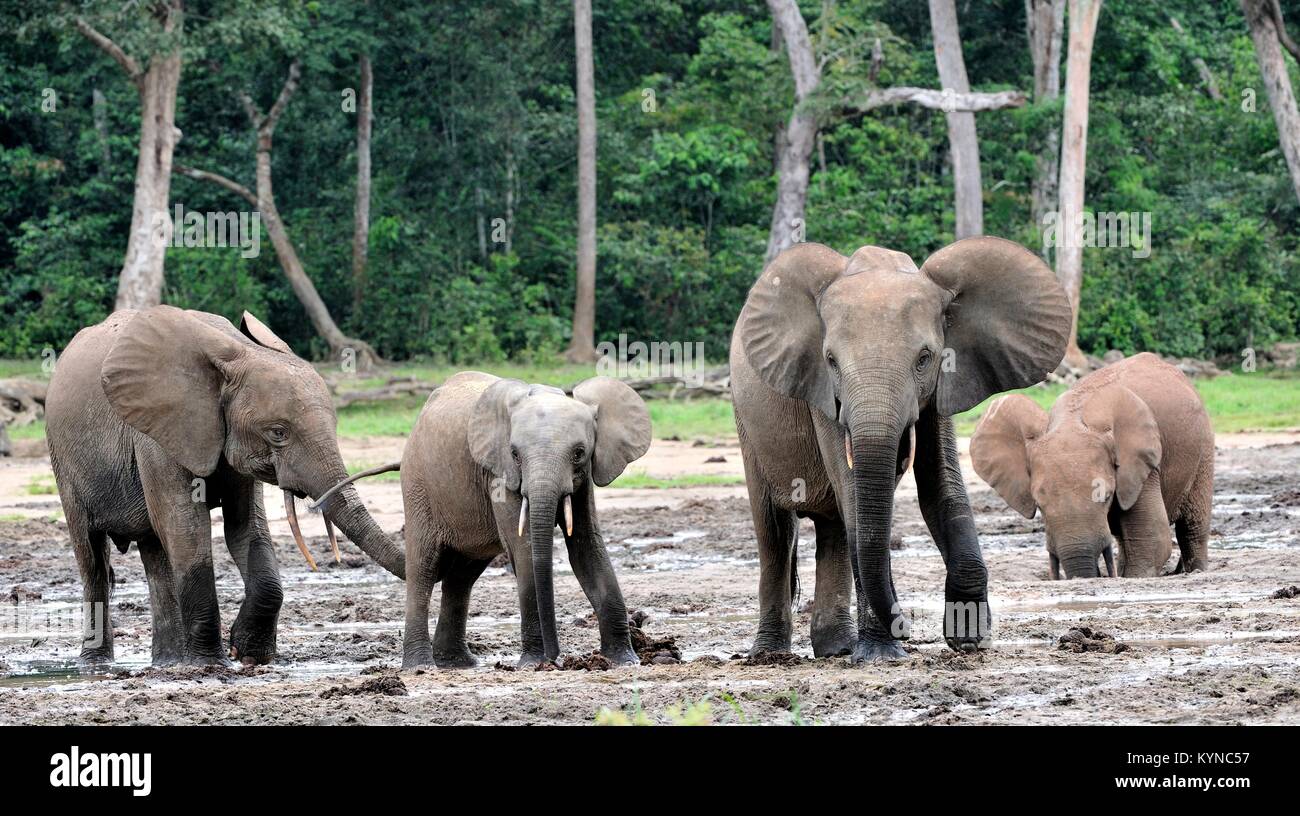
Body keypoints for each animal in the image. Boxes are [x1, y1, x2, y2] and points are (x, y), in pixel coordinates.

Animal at [44, 306, 406, 667]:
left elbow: (246, 528)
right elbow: (186, 528)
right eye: (278, 433)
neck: (237, 354)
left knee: (155, 551)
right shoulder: (159, 433)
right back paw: (96, 663)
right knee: (92, 558)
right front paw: (212, 664)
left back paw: (168, 663)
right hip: (63, 460)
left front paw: (248, 654)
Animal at [319, 371, 649, 669]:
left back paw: (456, 663)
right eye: (514, 454)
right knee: (424, 567)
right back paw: (420, 666)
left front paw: (625, 661)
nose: (556, 660)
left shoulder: (584, 479)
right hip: (417, 485)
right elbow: (524, 549)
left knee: (462, 575)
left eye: (579, 453)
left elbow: (587, 546)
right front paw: (532, 664)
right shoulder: (498, 473)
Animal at [730, 236, 1071, 661]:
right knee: (776, 531)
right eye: (831, 360)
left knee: (836, 525)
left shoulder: (945, 381)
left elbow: (942, 486)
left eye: (924, 358)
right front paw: (883, 655)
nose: (907, 627)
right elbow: (855, 495)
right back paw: (772, 654)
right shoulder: (821, 391)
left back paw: (836, 649)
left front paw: (969, 636)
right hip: (746, 421)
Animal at [970, 352, 1214, 579]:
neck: (1071, 419)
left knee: (1192, 527)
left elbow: (1153, 538)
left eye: (1106, 496)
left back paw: (1195, 570)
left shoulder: (1143, 464)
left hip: (1204, 447)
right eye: (1039, 504)